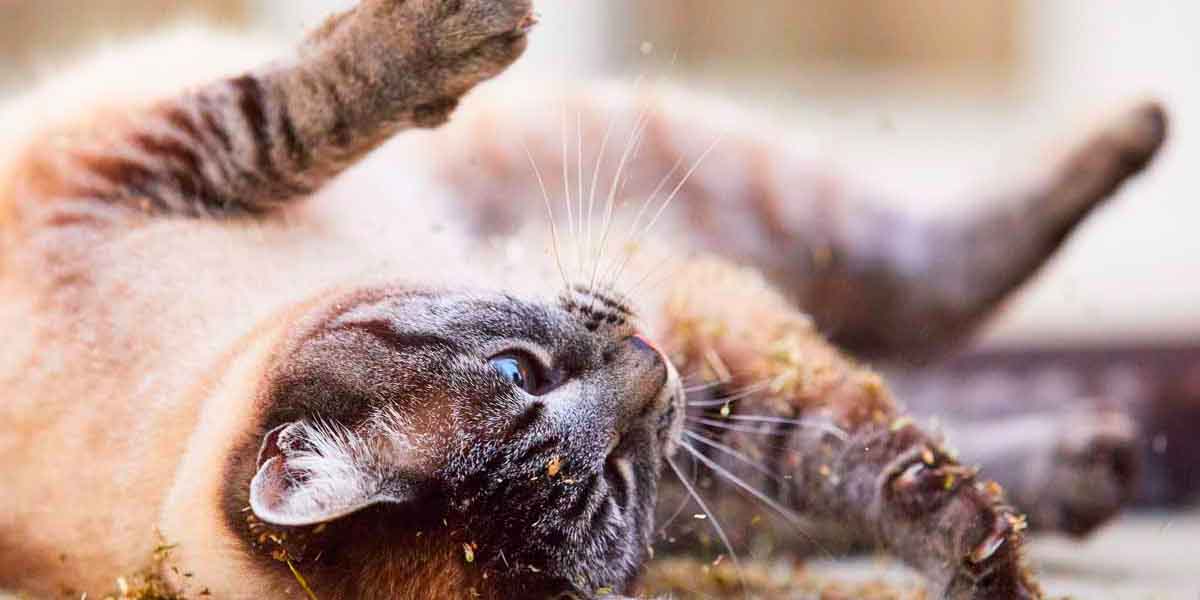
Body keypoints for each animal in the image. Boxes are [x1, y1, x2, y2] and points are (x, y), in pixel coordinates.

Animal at [0, 1, 1161, 600]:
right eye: (614, 481)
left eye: (521, 370)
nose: (652, 372)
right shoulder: (702, 427)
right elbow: (853, 465)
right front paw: (987, 558)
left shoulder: (138, 164)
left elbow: (290, 107)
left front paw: (451, 34)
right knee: (930, 295)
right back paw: (1089, 461)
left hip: (693, 177)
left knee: (917, 274)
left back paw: (1136, 134)